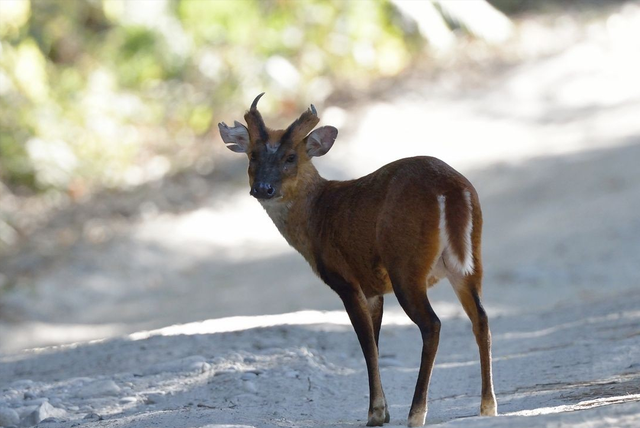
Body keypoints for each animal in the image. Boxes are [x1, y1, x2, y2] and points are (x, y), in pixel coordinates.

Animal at [221, 93, 500, 424]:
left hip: (406, 264)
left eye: (290, 157)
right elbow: (376, 344)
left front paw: (376, 413)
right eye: (252, 155)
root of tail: (452, 188)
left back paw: (416, 413)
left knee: (432, 324)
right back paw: (488, 406)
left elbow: (367, 345)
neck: (317, 215)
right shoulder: (373, 288)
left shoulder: (345, 280)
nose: (263, 188)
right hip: (470, 261)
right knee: (481, 318)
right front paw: (382, 410)